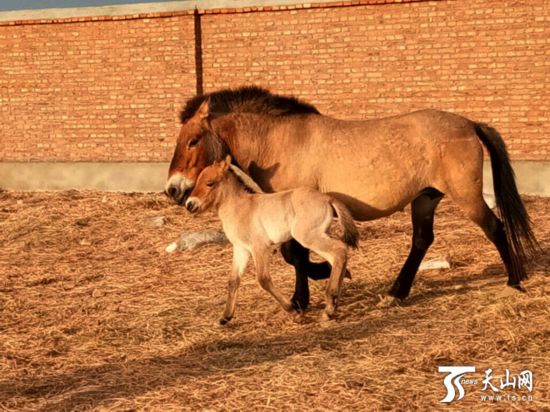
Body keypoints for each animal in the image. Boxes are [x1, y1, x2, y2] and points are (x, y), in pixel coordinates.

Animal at [184, 156, 358, 324]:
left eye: (209, 183)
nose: (189, 205)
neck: (239, 206)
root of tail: (328, 199)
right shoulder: (241, 249)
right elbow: (233, 280)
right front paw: (225, 317)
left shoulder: (259, 247)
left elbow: (263, 280)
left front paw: (294, 312)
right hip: (318, 235)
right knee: (339, 254)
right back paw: (334, 303)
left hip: (308, 237)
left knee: (339, 251)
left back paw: (329, 308)